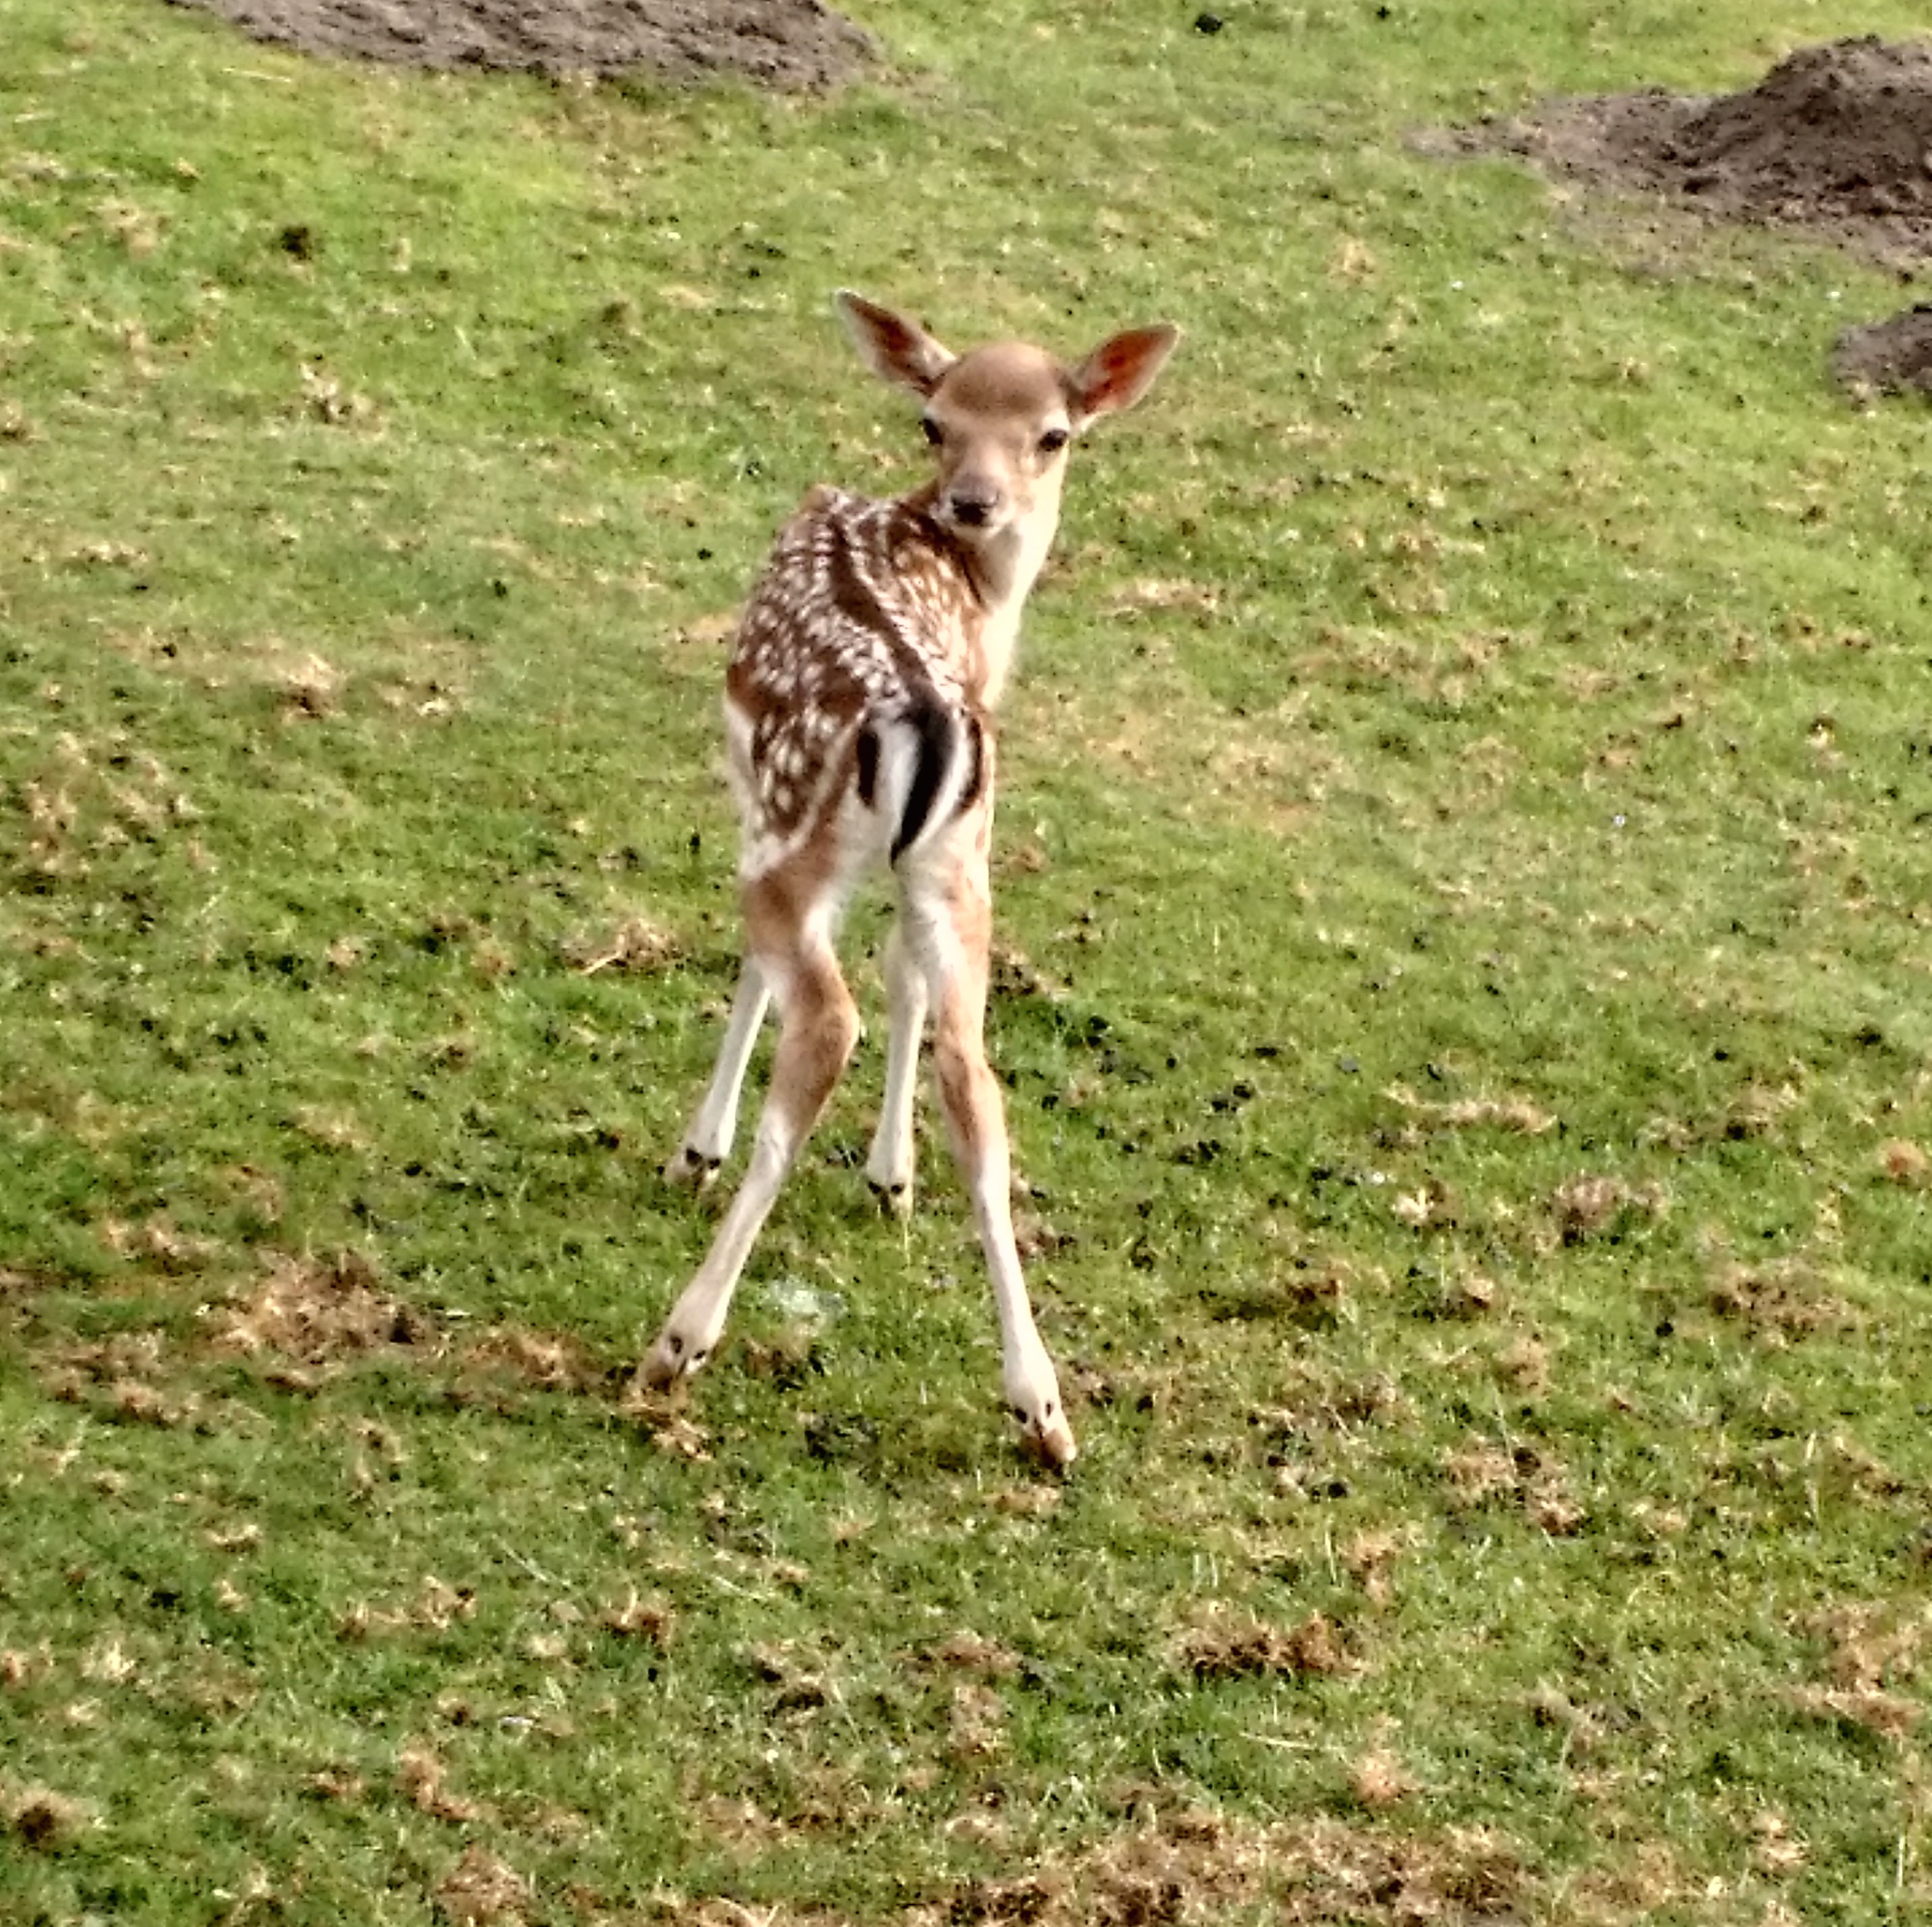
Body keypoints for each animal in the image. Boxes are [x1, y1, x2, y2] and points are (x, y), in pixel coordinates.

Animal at [645, 289, 1174, 1461]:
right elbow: (906, 978)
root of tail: (931, 713)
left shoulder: (760, 811)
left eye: (1052, 434)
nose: (975, 501)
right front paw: (891, 1177)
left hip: (800, 834)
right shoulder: (917, 863)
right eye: (936, 421)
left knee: (826, 1019)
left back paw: (679, 1337)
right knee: (975, 1073)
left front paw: (698, 1150)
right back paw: (1041, 1406)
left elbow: (757, 974)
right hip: (962, 863)